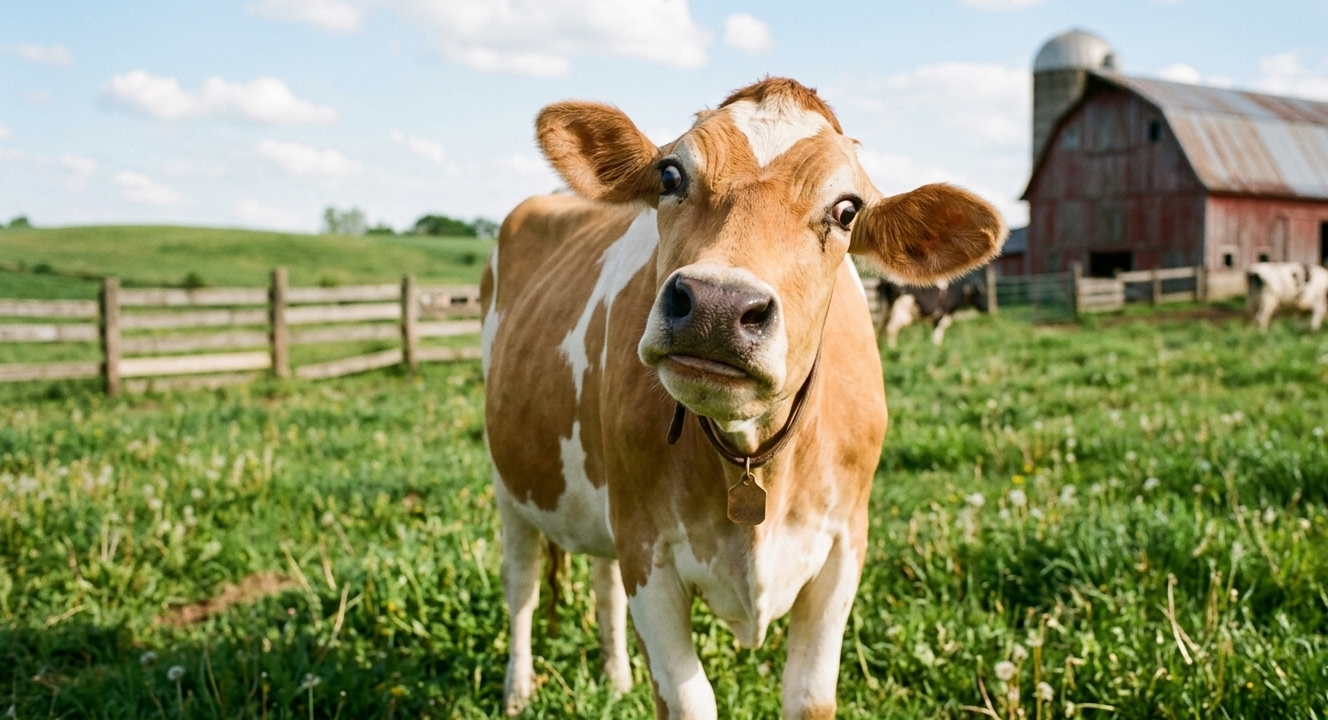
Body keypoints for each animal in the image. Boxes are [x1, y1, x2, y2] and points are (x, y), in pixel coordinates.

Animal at [481, 78, 1005, 720]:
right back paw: (518, 691)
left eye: (846, 210)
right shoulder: (646, 549)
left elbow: (809, 696)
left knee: (601, 584)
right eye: (670, 175)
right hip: (510, 482)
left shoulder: (843, 547)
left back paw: (616, 677)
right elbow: (688, 700)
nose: (717, 304)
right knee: (522, 587)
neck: (755, 455)